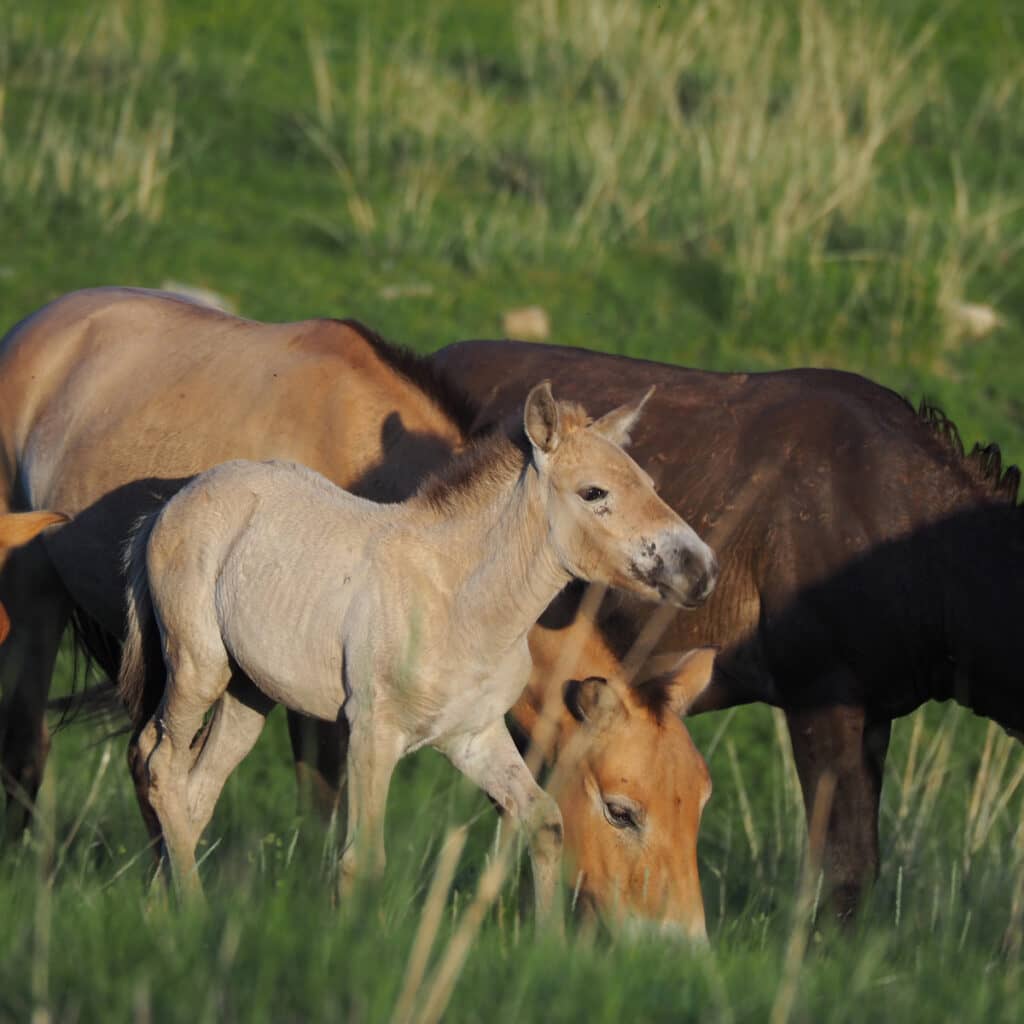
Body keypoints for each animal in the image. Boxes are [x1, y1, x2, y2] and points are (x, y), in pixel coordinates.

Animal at [116, 385, 716, 921]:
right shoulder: (371, 732)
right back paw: (190, 916)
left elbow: (543, 822)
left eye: (651, 484)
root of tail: (171, 503)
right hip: (198, 665)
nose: (700, 570)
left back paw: (162, 911)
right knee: (160, 763)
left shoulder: (473, 737)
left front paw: (547, 949)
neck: (460, 603)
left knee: (196, 789)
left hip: (249, 693)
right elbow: (362, 861)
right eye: (594, 493)